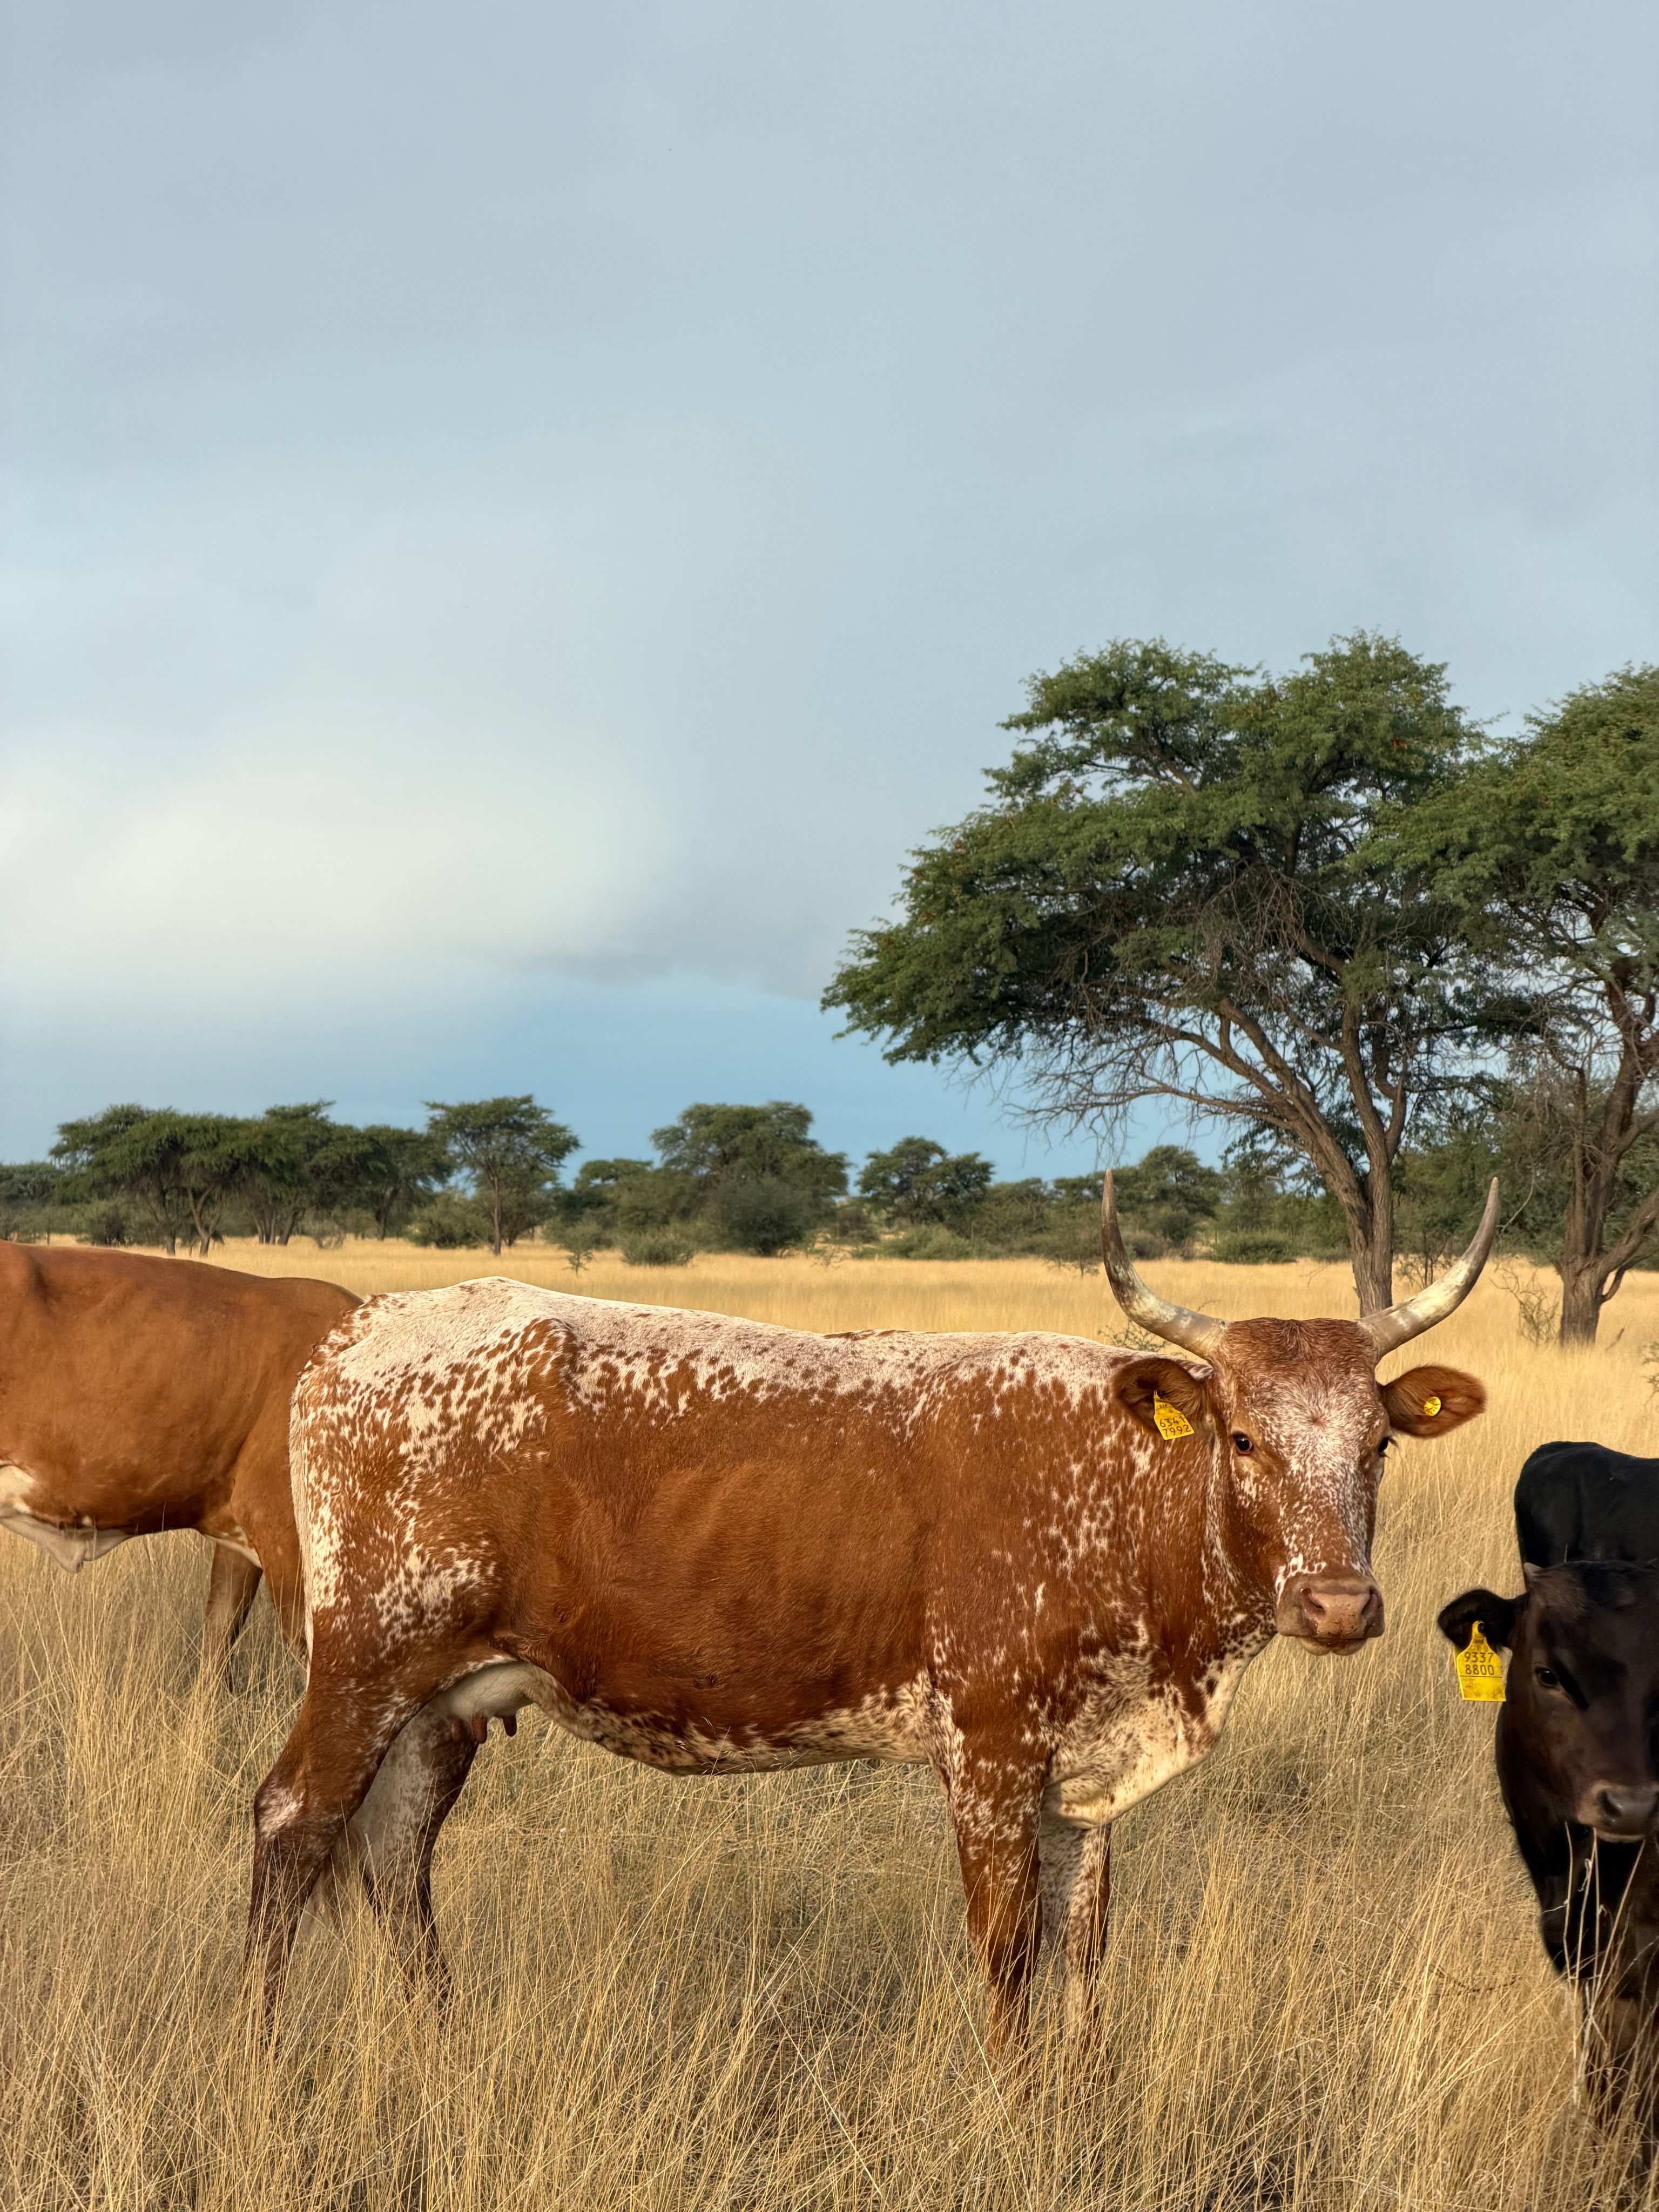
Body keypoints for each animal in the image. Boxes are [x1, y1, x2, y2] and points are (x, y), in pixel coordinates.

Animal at [246, 1178, 1496, 2046]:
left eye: (1378, 1444)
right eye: (1242, 1438)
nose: (1338, 1602)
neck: (1119, 1491)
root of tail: (359, 1333)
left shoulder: (1084, 1782)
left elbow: (1084, 1953)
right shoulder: (987, 1754)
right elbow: (1010, 1953)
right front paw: (1016, 2112)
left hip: (439, 1702)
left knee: (393, 1852)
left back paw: (438, 2043)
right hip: (363, 1666)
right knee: (292, 1822)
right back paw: (264, 2052)